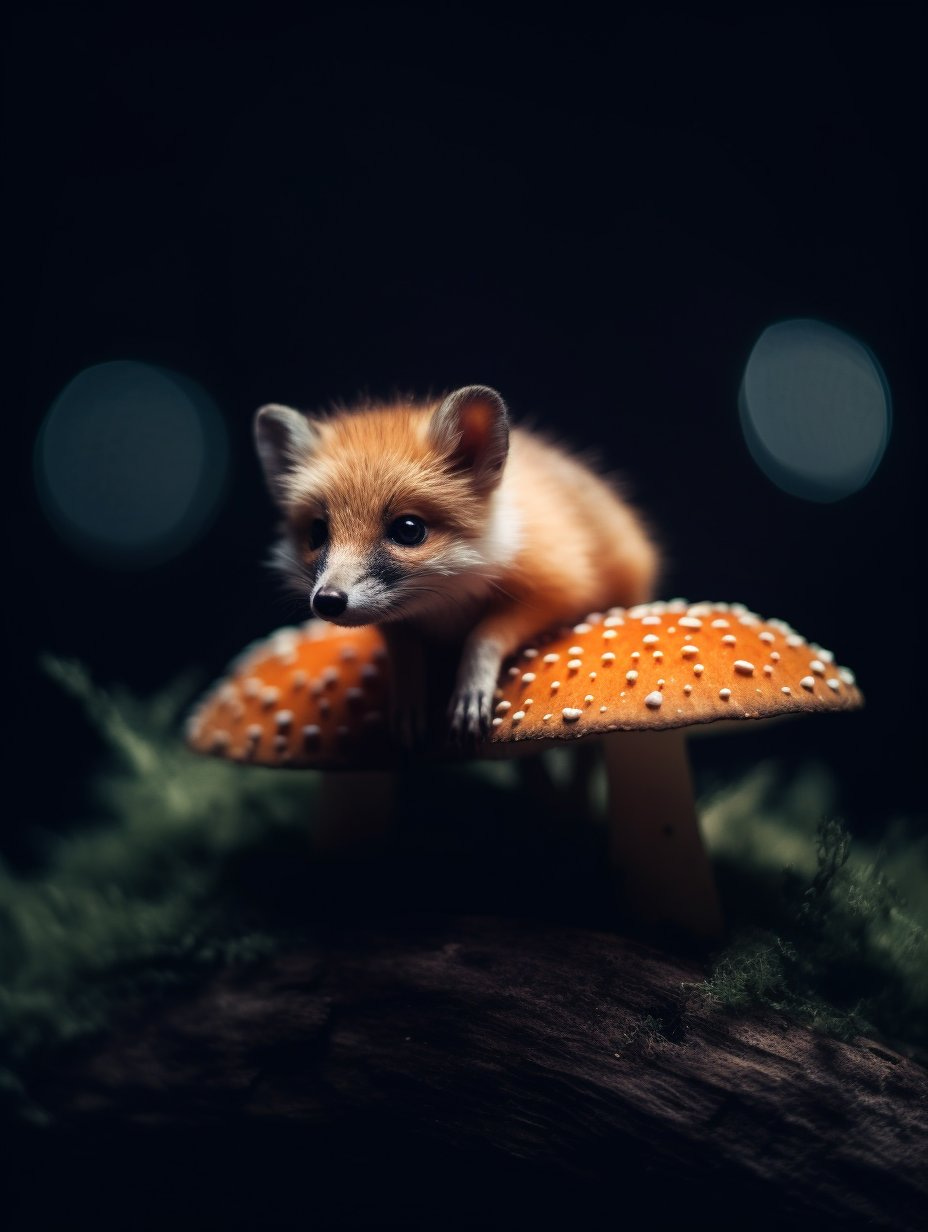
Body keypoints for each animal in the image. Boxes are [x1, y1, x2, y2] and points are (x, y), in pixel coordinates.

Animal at [253, 386, 660, 739]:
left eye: (409, 529)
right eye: (317, 533)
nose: (327, 601)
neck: (446, 608)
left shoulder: (560, 590)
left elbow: (483, 638)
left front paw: (470, 693)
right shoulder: (396, 625)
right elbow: (405, 653)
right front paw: (408, 706)